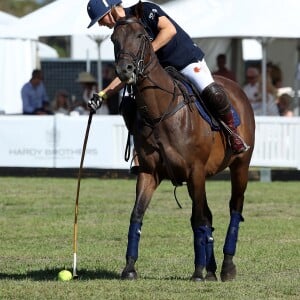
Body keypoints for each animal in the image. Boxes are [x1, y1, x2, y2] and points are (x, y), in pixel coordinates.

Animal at [111, 14, 254, 282]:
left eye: (141, 35)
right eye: (114, 39)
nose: (124, 70)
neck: (159, 111)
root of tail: (236, 87)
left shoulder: (195, 171)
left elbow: (197, 219)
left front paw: (197, 272)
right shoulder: (149, 173)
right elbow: (137, 215)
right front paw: (129, 268)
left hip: (240, 165)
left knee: (234, 209)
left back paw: (227, 267)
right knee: (209, 215)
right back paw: (212, 269)